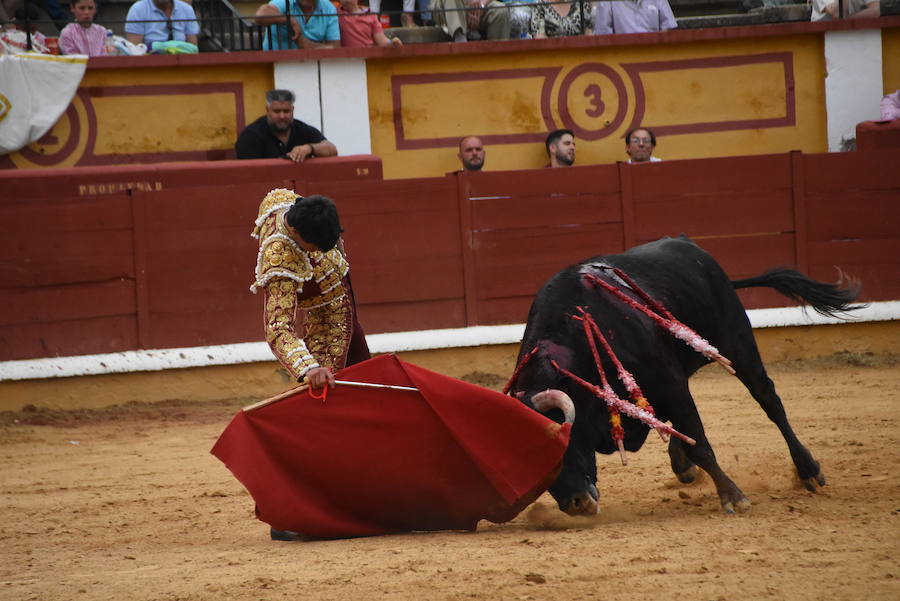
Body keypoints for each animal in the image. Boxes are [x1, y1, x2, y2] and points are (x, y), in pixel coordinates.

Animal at [506, 237, 856, 512]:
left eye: (560, 444)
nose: (575, 505)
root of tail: (692, 246)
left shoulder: (669, 384)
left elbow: (699, 442)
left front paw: (733, 497)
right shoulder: (667, 387)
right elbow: (687, 433)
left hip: (737, 342)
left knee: (769, 399)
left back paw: (808, 470)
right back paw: (684, 467)